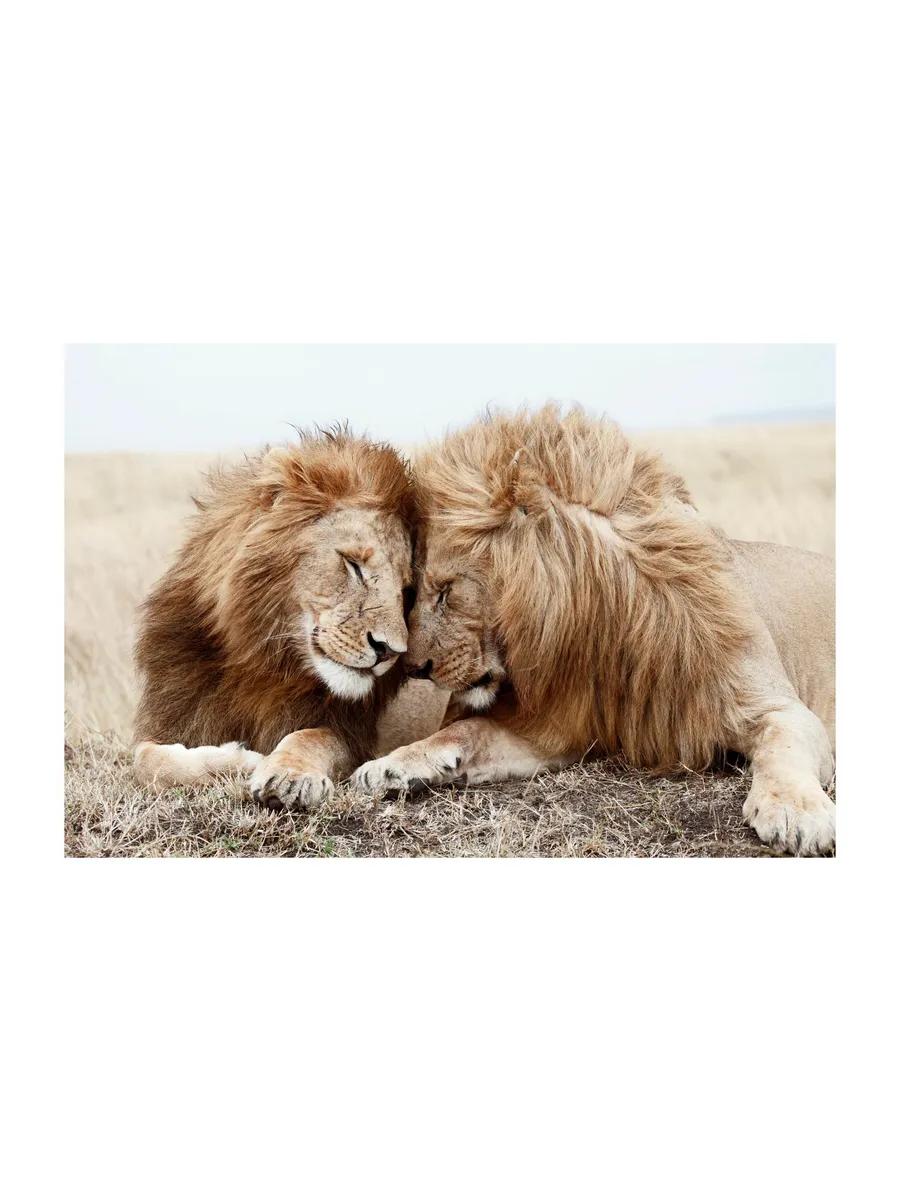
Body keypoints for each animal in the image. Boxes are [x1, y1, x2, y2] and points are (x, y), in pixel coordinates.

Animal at [132, 428, 416, 808]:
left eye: (406, 590)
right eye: (353, 565)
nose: (390, 651)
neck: (263, 660)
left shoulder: (349, 733)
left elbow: (309, 737)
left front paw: (288, 775)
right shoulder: (173, 717)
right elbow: (146, 761)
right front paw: (239, 759)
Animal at [351, 405, 836, 856]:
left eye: (446, 590)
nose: (414, 668)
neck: (605, 623)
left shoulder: (778, 708)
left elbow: (783, 747)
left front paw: (796, 813)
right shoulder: (559, 727)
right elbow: (466, 731)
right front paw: (391, 765)